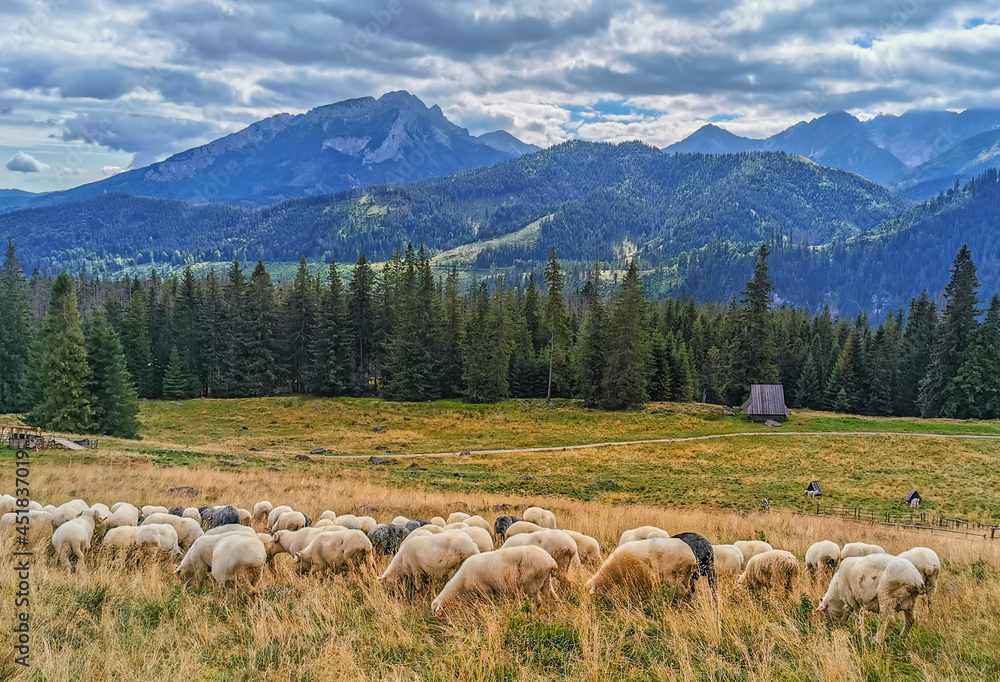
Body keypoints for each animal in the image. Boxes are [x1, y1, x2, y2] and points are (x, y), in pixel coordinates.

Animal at [432, 540, 564, 616]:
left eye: (436, 612)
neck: (461, 582)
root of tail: (551, 561)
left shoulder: (484, 590)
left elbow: (489, 605)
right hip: (545, 580)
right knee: (554, 598)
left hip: (531, 583)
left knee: (538, 603)